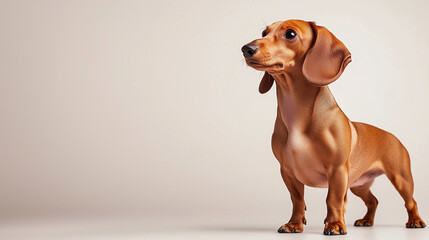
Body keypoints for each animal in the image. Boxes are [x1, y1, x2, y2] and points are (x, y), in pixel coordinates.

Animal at [241, 19, 424, 234]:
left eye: (291, 34)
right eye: (264, 32)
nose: (246, 48)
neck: (297, 117)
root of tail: (392, 135)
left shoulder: (337, 171)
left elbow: (333, 200)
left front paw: (335, 224)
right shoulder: (288, 172)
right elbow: (297, 200)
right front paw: (294, 224)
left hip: (401, 179)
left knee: (411, 202)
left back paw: (415, 221)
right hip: (358, 184)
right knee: (373, 201)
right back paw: (366, 221)